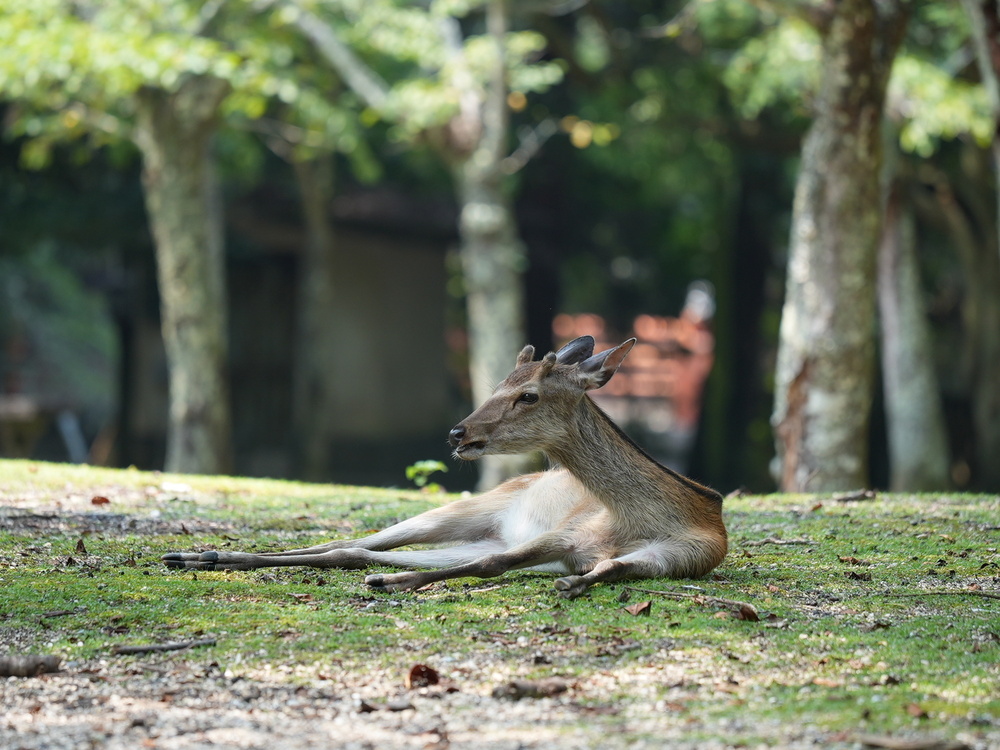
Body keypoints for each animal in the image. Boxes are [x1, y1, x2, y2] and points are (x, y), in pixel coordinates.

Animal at [163, 336, 728, 598]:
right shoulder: (569, 532)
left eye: (528, 394)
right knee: (353, 541)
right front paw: (396, 584)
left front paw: (575, 584)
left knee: (355, 551)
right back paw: (195, 554)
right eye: (497, 385)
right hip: (464, 510)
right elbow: (496, 564)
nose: (458, 433)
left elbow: (604, 567)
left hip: (474, 532)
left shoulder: (679, 557)